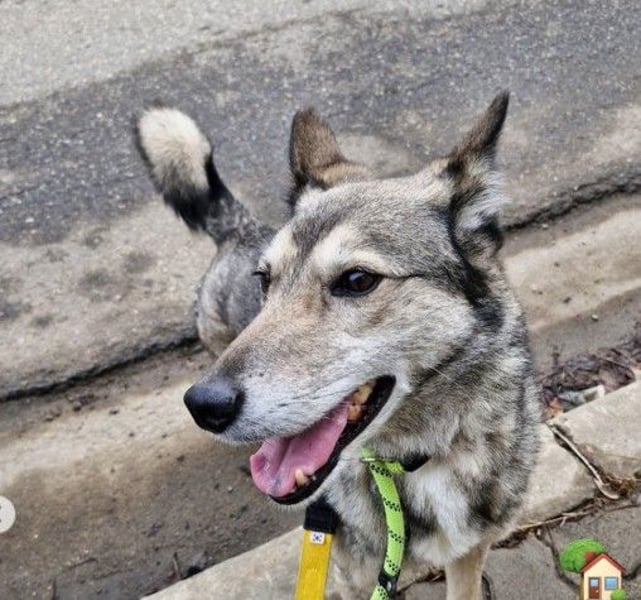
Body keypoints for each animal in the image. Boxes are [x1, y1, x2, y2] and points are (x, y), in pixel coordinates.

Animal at [135, 93, 541, 600]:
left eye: (357, 280)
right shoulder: (353, 576)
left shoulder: (470, 549)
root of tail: (239, 227)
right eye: (265, 280)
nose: (205, 405)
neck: (416, 460)